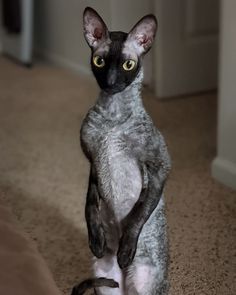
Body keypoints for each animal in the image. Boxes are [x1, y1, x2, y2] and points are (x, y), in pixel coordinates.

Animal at [71, 6, 171, 295]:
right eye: (100, 62)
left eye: (128, 65)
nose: (111, 82)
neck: (112, 120)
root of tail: (125, 281)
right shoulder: (93, 159)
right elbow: (89, 204)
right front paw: (96, 239)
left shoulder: (160, 165)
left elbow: (140, 211)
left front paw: (126, 249)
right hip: (105, 275)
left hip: (145, 280)